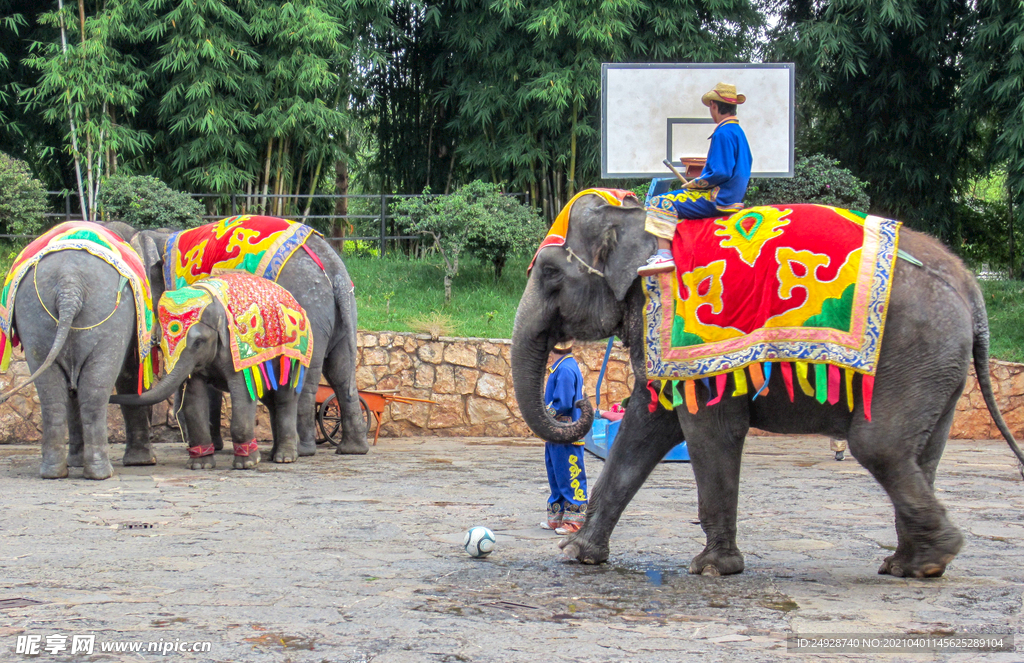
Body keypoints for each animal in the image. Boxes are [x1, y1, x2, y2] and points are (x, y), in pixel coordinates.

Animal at [0, 221, 158, 480]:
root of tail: (69, 283)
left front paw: (75, 463)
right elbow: (129, 373)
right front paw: (142, 462)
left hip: (36, 317)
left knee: (54, 394)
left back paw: (55, 473)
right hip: (106, 316)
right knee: (94, 389)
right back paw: (101, 473)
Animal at [110, 272, 313, 469]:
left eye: (198, 342)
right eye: (158, 345)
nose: (110, 398)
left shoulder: (236, 351)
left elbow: (242, 392)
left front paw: (247, 464)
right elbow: (194, 398)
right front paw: (200, 465)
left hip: (295, 355)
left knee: (285, 398)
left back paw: (285, 458)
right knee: (270, 400)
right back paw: (273, 455)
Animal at [127, 217, 367, 456]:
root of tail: (335, 270)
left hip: (309, 310)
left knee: (307, 377)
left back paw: (302, 450)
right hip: (341, 312)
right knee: (340, 371)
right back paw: (352, 449)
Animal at [512, 194, 1024, 579]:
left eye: (550, 273)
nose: (579, 404)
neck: (639, 221)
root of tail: (970, 288)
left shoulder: (689, 337)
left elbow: (707, 430)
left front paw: (712, 568)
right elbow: (646, 425)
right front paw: (577, 555)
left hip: (914, 351)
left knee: (879, 446)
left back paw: (935, 556)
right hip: (938, 366)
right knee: (922, 454)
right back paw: (910, 565)